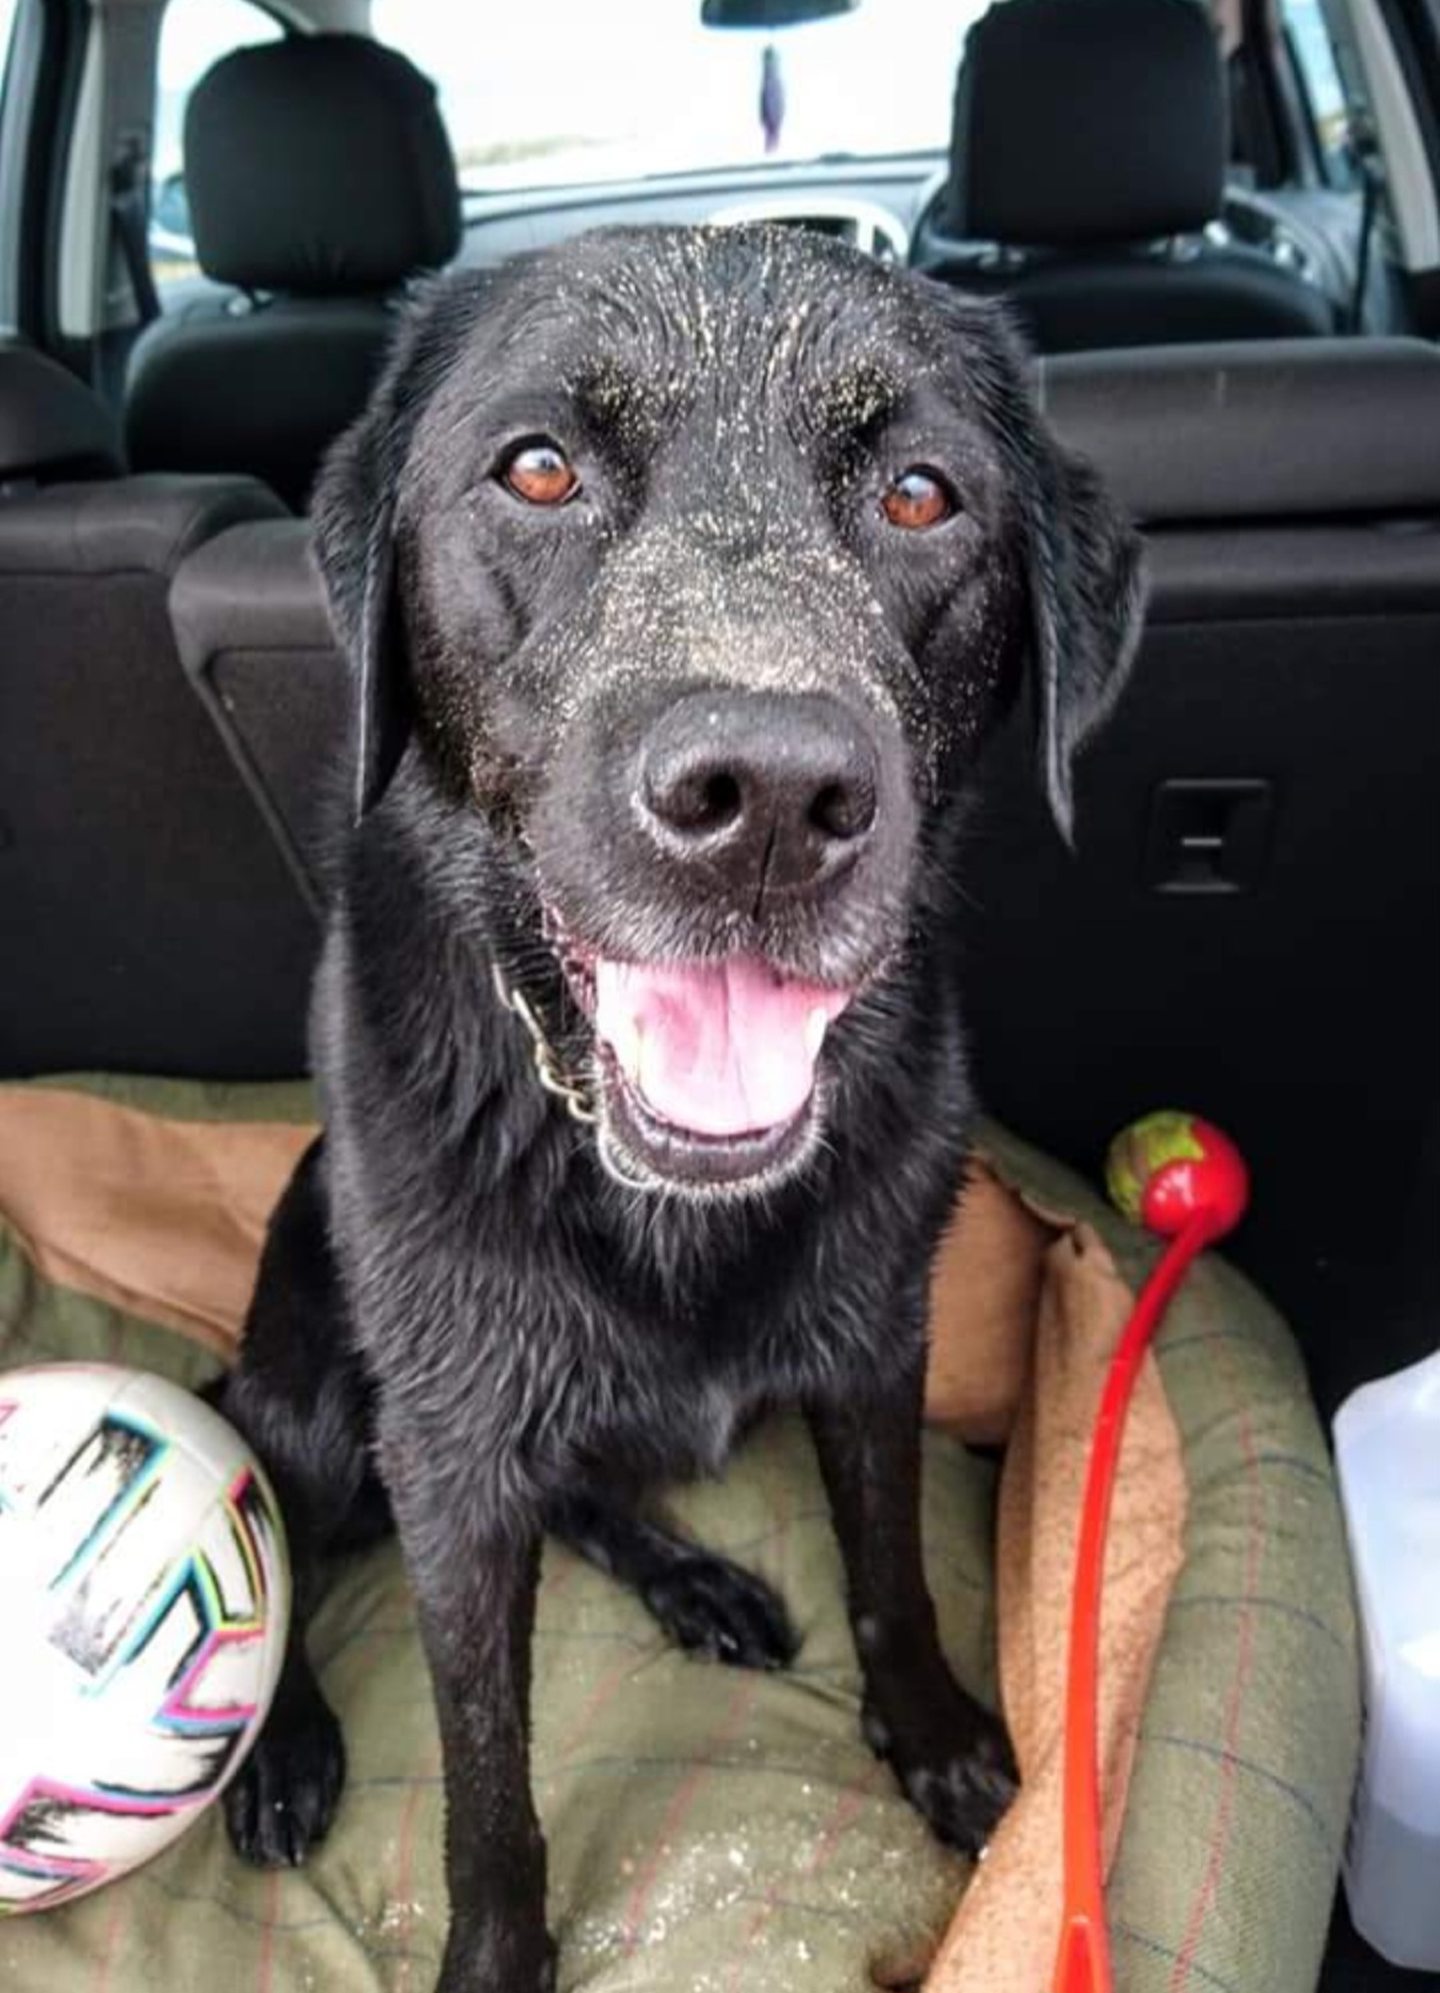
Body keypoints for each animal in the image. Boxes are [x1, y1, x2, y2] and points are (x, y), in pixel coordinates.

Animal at [217, 222, 1139, 1993]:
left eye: (921, 493)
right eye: (538, 468)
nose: (767, 797)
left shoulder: (877, 1339)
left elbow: (890, 1571)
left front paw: (940, 1742)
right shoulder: (449, 1458)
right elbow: (485, 1777)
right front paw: (495, 1955)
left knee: (593, 1489)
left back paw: (698, 1581)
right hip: (304, 1363)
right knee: (266, 1494)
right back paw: (279, 1744)